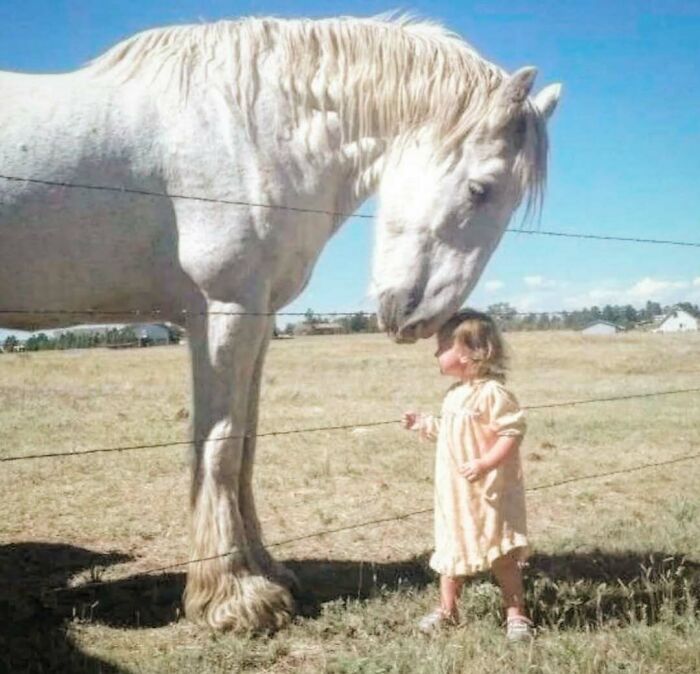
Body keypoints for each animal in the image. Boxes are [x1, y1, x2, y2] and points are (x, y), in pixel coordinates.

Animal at [0, 16, 561, 631]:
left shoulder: (254, 317)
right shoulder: (224, 311)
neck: (249, 127)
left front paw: (264, 572)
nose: (419, 318)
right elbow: (218, 446)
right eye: (480, 188)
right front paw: (235, 597)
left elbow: (244, 446)